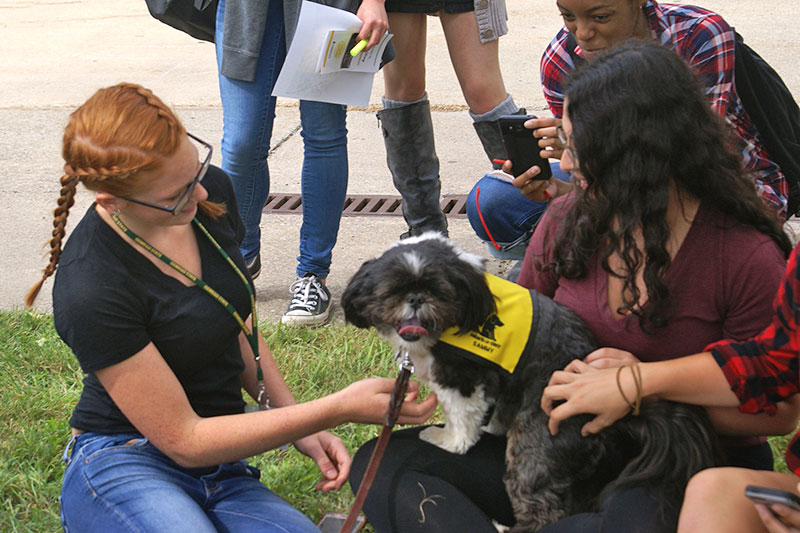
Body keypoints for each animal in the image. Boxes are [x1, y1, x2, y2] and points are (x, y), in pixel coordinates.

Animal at [340, 234, 720, 532]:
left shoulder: (461, 375)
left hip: (540, 436)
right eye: (392, 291)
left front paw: (448, 440)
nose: (416, 299)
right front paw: (489, 426)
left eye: (439, 291)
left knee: (541, 506)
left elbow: (459, 415)